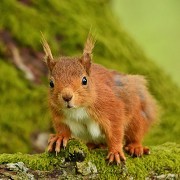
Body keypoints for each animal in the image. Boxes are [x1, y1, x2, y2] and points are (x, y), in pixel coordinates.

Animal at [41, 33, 157, 165]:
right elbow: (62, 127)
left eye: (84, 80)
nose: (67, 97)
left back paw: (135, 146)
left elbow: (115, 131)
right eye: (51, 83)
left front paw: (115, 151)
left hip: (137, 117)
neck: (77, 109)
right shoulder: (58, 114)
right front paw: (60, 137)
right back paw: (93, 145)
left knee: (136, 133)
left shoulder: (111, 108)